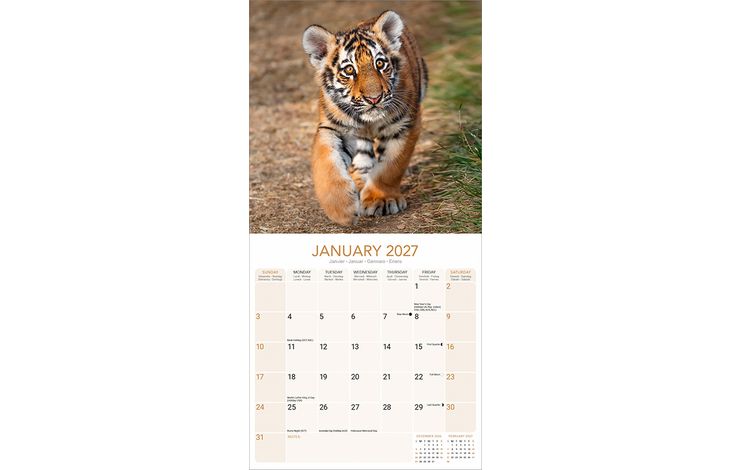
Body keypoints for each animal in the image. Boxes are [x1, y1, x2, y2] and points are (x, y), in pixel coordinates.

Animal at [302, 10, 428, 226]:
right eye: (349, 70)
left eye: (380, 64)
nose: (374, 98)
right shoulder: (333, 128)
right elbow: (326, 164)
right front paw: (342, 210)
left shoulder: (404, 126)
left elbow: (391, 166)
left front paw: (381, 199)